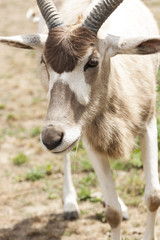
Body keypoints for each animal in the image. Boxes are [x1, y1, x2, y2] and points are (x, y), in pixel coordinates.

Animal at [0, 0, 160, 239]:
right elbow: (111, 212)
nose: (51, 138)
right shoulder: (86, 138)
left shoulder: (148, 125)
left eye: (92, 61)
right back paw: (70, 204)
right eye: (44, 60)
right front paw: (112, 208)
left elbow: (153, 197)